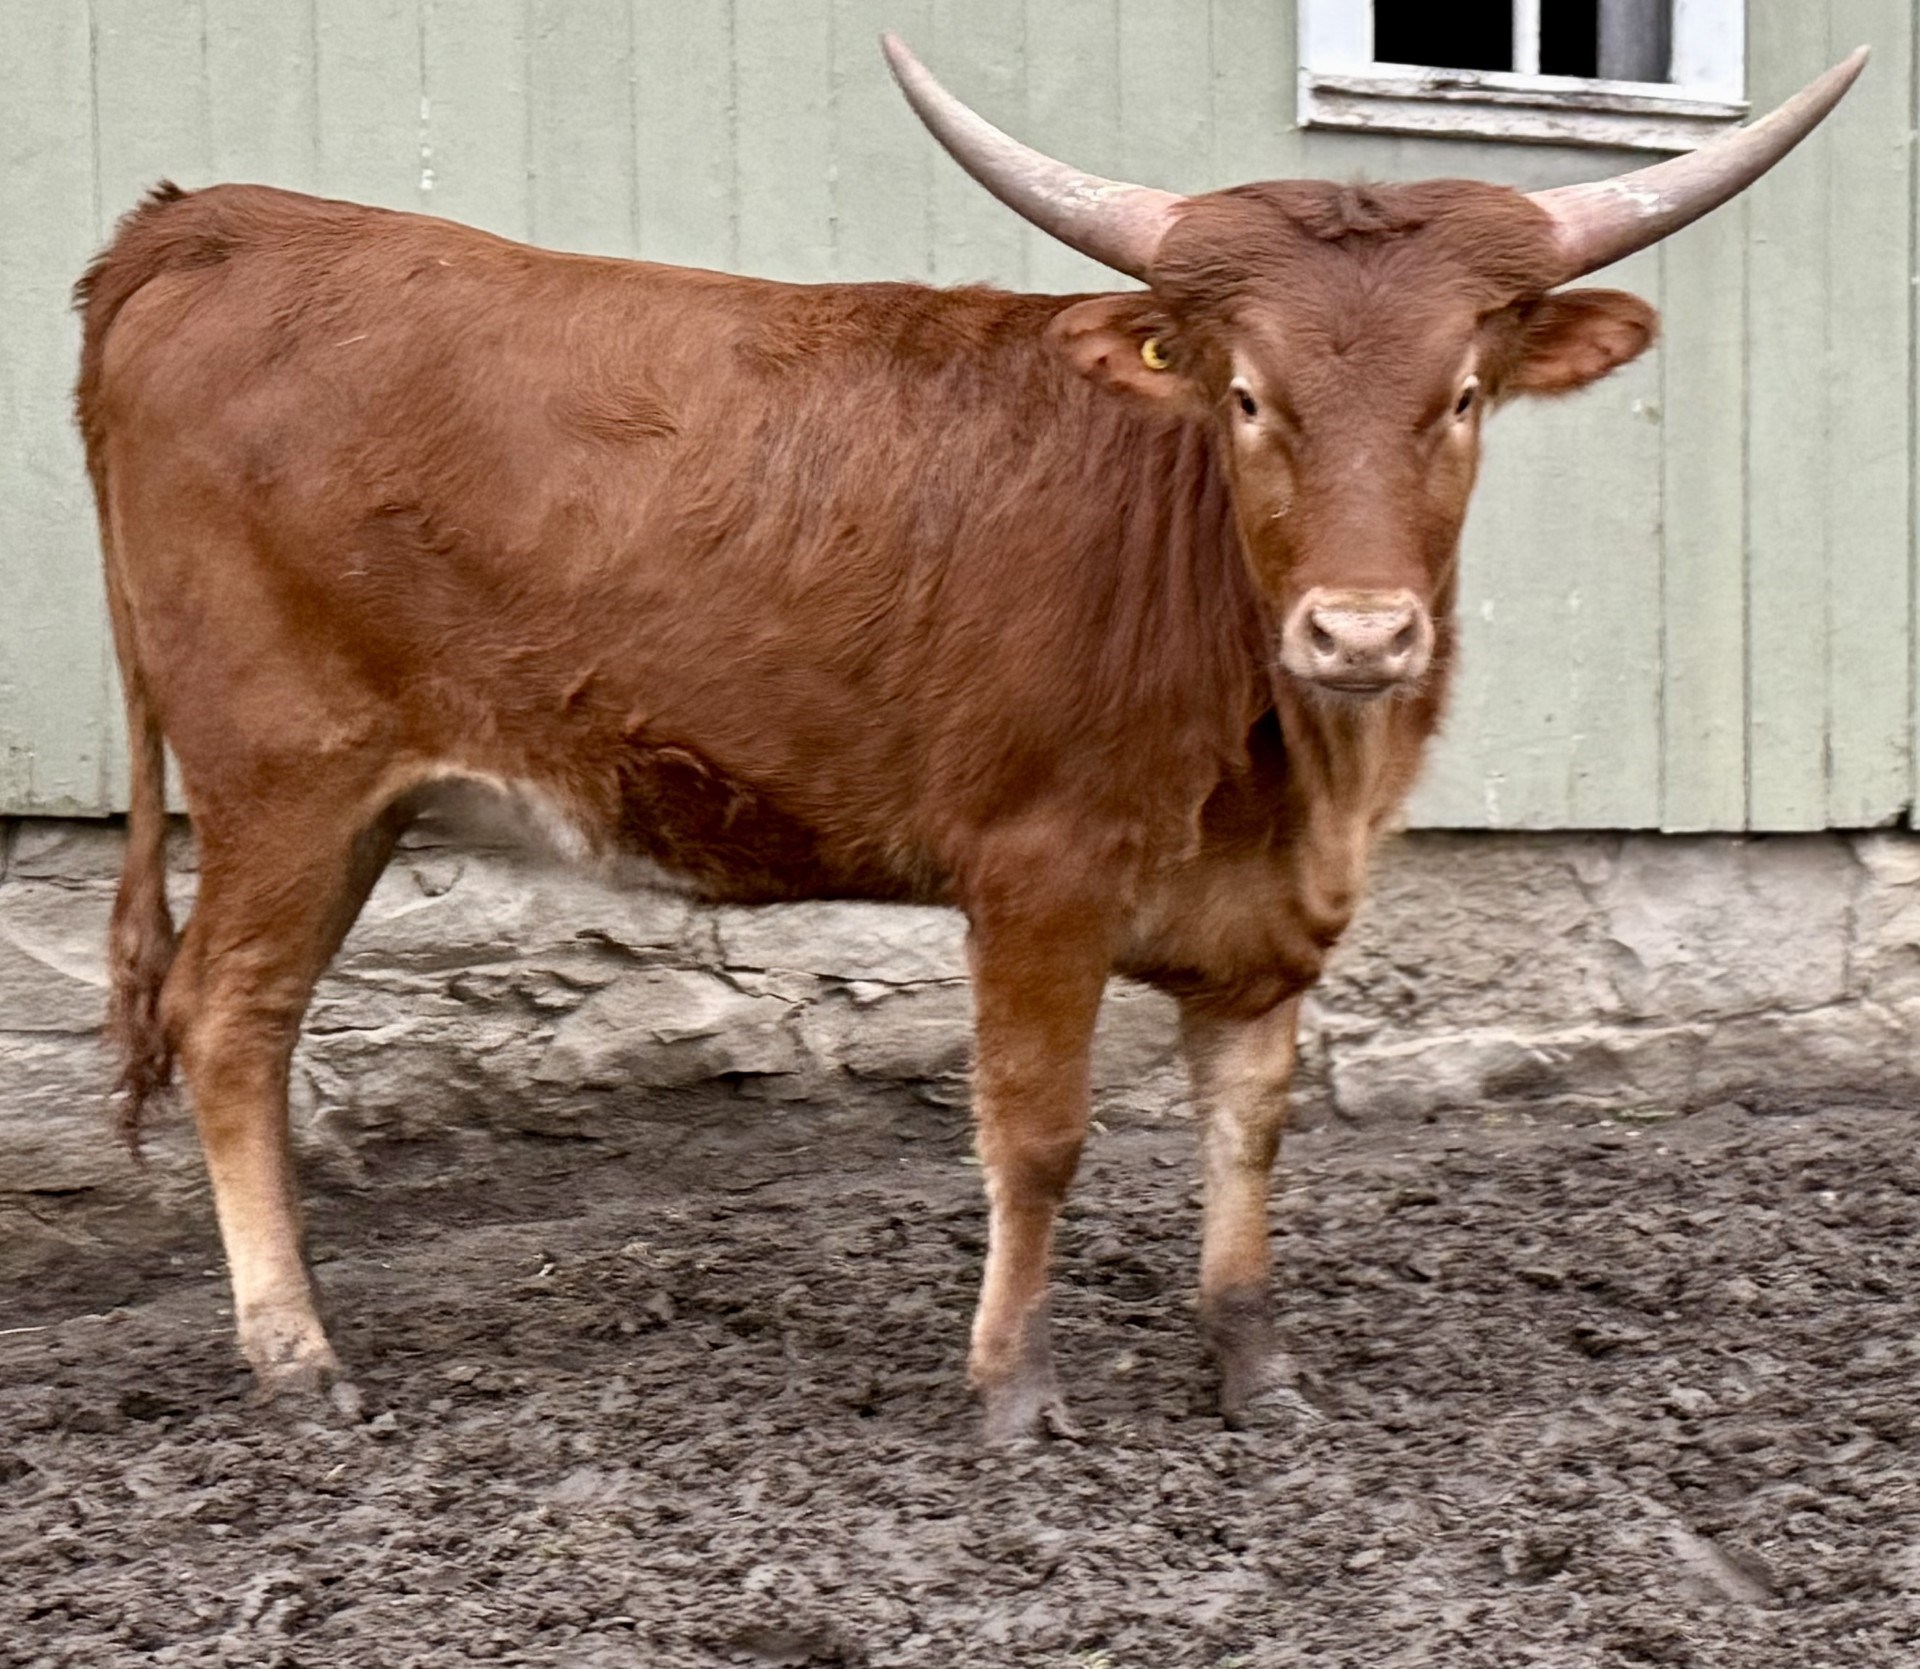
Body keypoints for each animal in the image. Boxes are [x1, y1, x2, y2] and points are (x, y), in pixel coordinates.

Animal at [75, 36, 1864, 1442]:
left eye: (1464, 395)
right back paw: (299, 1361)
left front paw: (1256, 1375)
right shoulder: (1037, 875)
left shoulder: (1270, 923)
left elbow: (1251, 1132)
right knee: (231, 1020)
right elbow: (1039, 1130)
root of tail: (211, 223)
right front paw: (1011, 1389)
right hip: (287, 776)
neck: (1295, 769)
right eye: (1249, 397)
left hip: (347, 802)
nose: (1360, 634)